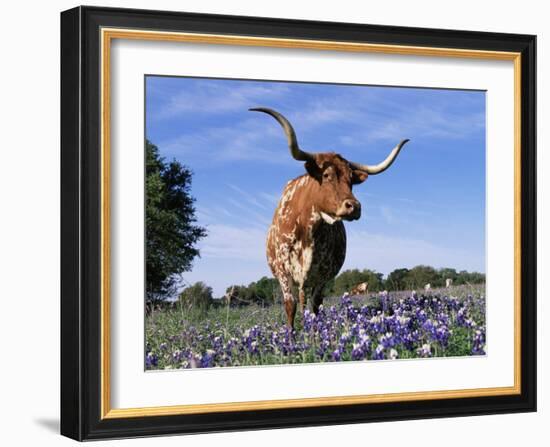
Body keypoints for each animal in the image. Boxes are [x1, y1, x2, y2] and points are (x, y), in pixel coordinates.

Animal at [250, 108, 410, 328]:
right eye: (326, 175)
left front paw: (313, 333)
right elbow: (290, 307)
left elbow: (316, 306)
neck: (308, 229)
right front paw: (291, 336)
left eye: (351, 180)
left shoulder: (323, 275)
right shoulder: (284, 273)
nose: (354, 207)